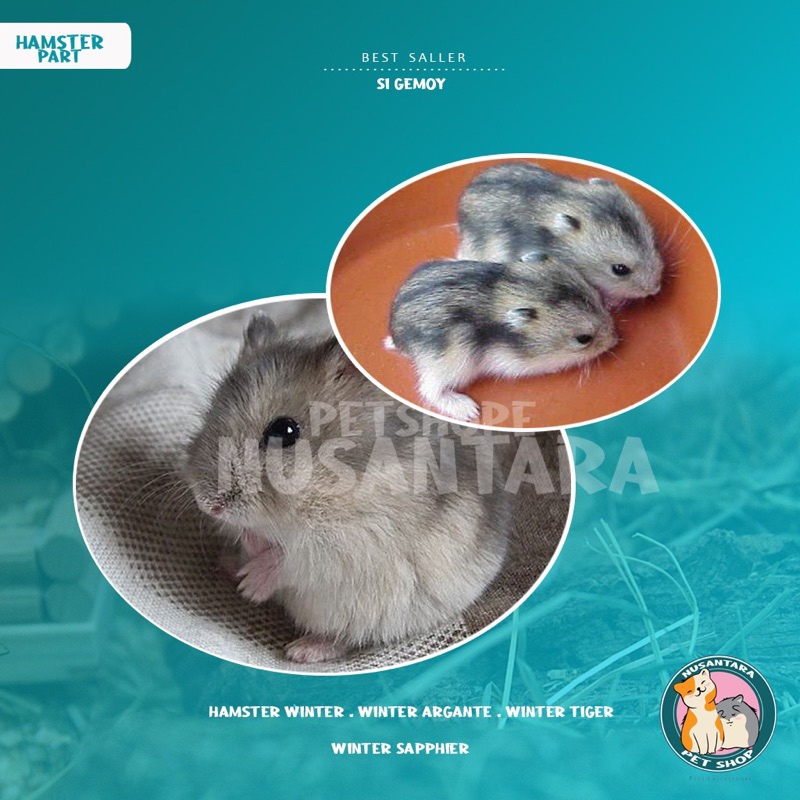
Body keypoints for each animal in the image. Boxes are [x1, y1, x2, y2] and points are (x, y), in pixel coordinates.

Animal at [184, 311, 515, 664]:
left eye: (285, 431)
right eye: (211, 412)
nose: (208, 505)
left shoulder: (352, 541)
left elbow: (291, 558)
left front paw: (250, 586)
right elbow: (254, 537)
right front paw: (248, 547)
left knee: (346, 638)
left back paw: (301, 650)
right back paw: (227, 564)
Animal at [386, 258, 617, 422]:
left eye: (599, 299)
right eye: (583, 339)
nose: (616, 339)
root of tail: (397, 337)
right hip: (450, 363)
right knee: (429, 390)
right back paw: (469, 410)